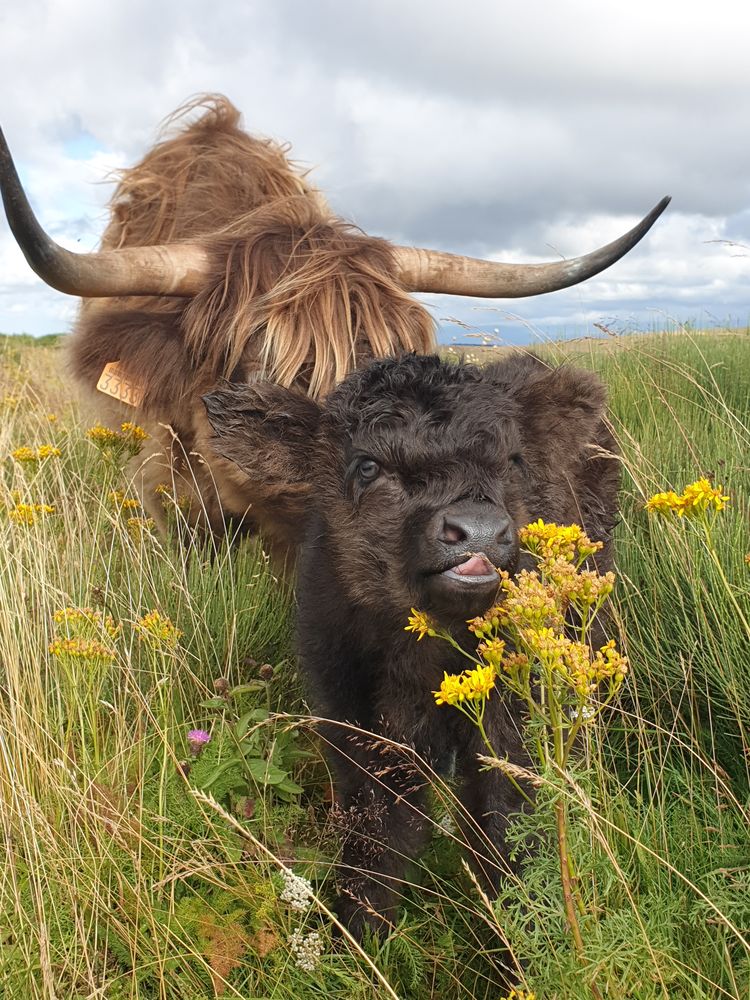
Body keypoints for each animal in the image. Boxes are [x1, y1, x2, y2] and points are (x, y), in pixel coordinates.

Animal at [203, 352, 620, 936]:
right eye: (368, 466)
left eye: (513, 461)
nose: (480, 530)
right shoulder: (358, 723)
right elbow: (376, 837)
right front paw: (355, 938)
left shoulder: (513, 725)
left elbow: (507, 829)